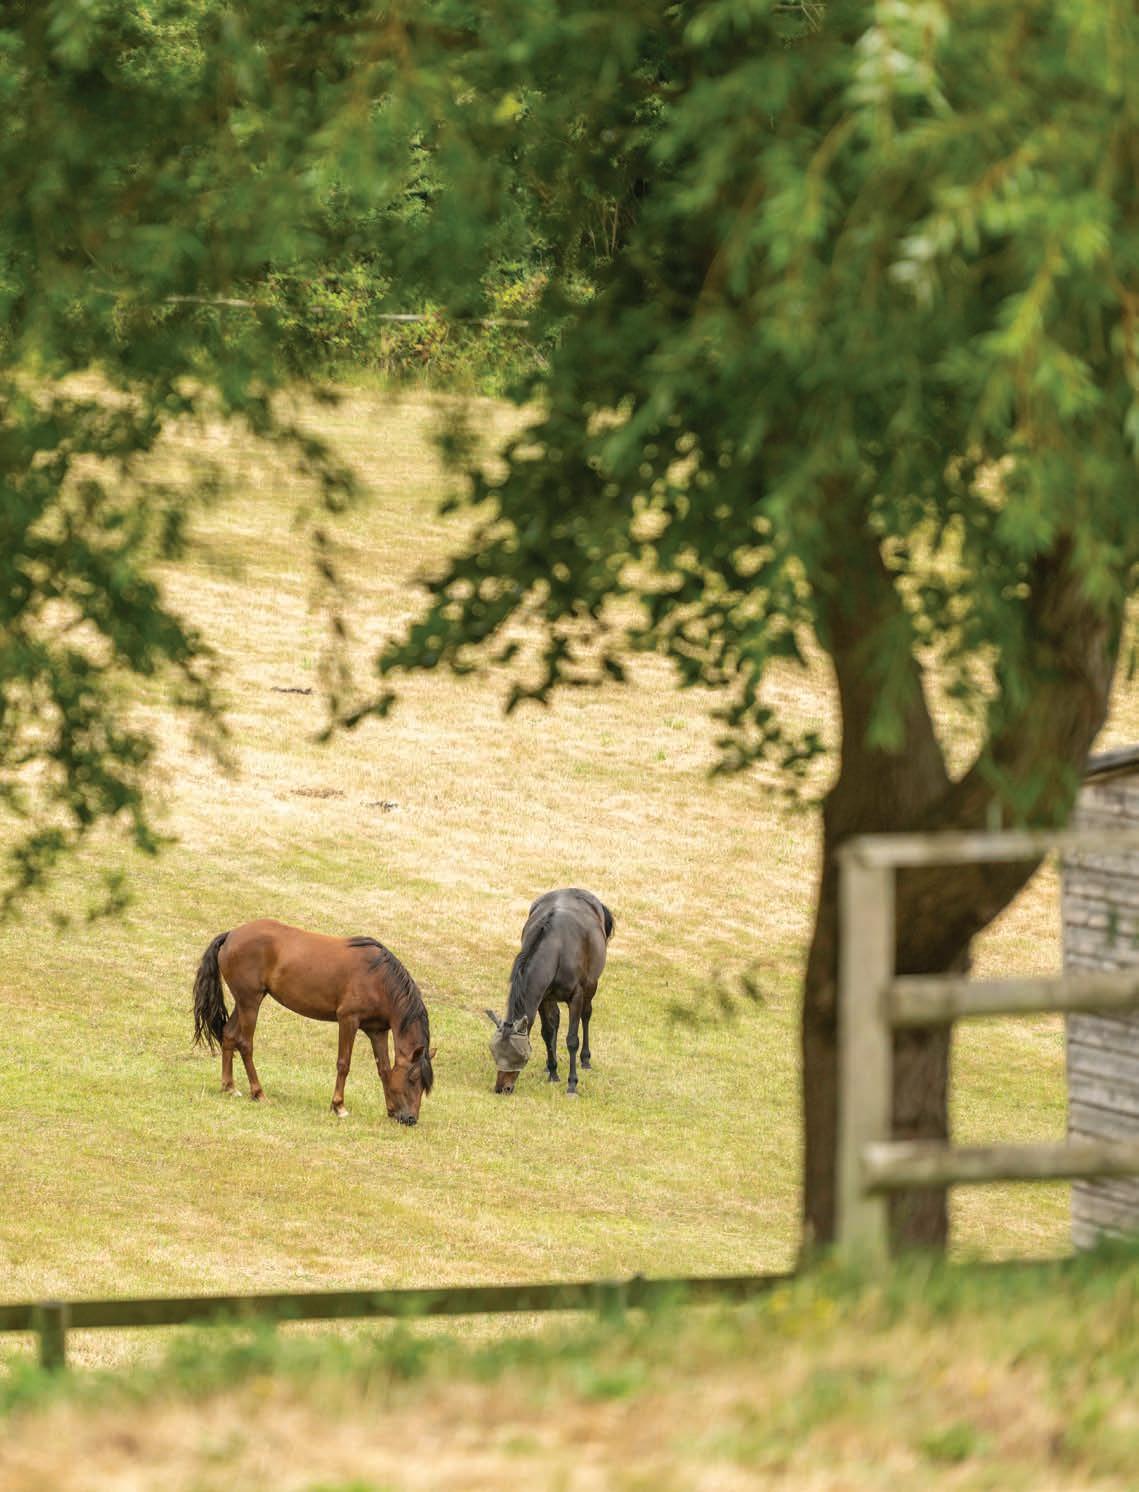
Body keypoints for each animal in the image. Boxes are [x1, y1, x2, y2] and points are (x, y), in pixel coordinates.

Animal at [192, 919, 435, 1124]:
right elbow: (344, 1064)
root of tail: (231, 934)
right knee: (245, 1044)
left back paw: (229, 1087)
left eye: (424, 1085)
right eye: (413, 1079)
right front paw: (339, 1106)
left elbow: (384, 1069)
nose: (411, 1119)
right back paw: (258, 1092)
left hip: (245, 1002)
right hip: (250, 1002)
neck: (379, 978)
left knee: (229, 1035)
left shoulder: (377, 1031)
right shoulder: (348, 1020)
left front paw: (391, 1110)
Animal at [485, 888, 614, 1096]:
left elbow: (572, 1039)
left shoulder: (576, 996)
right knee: (555, 1020)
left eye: (518, 1056)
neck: (557, 948)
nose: (502, 1088)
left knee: (586, 1015)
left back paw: (585, 1059)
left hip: (591, 985)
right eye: (495, 1053)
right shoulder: (543, 997)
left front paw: (572, 1084)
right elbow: (547, 1031)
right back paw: (548, 1065)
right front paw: (553, 1071)